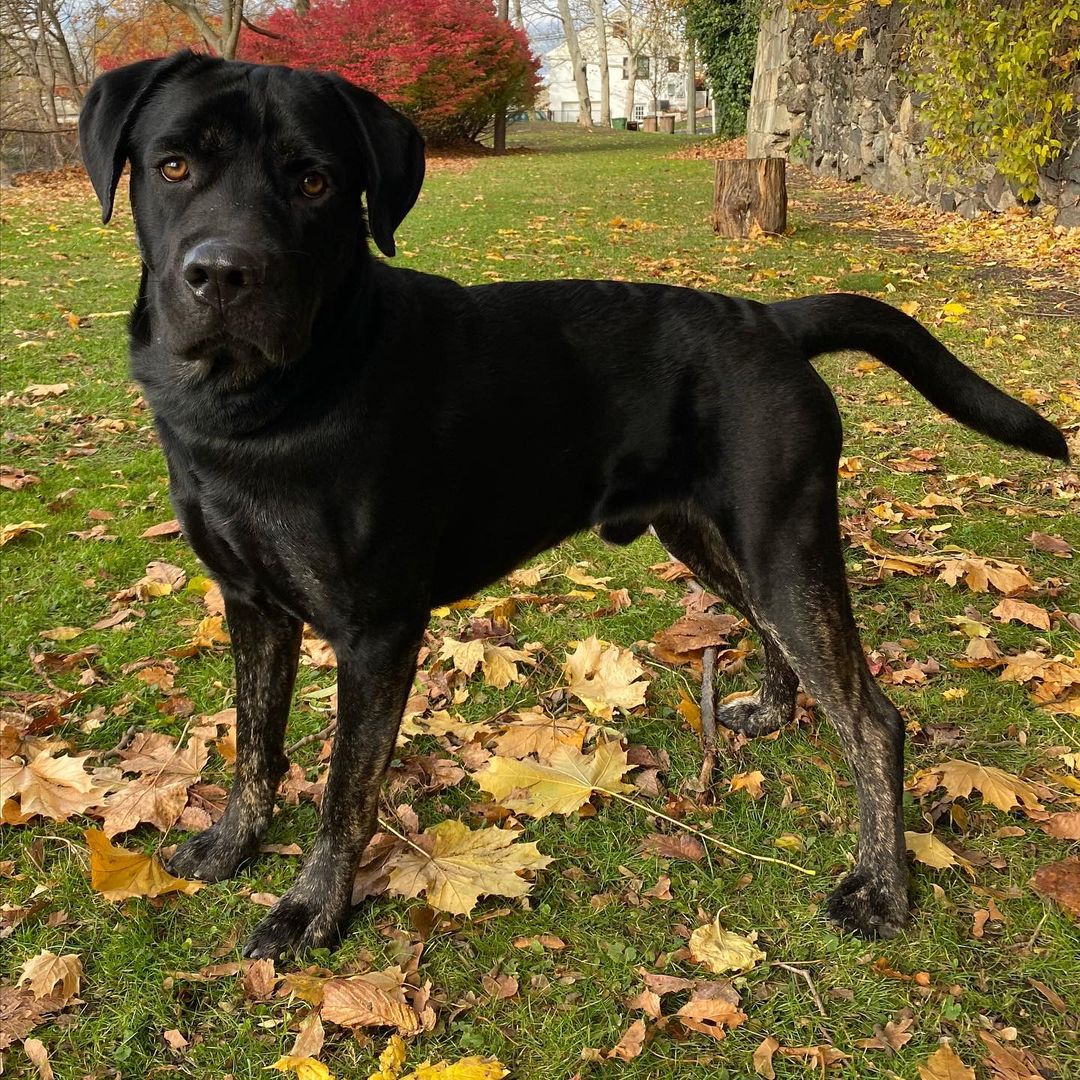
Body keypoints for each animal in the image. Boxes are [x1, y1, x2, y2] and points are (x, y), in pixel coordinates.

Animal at [79, 52, 1067, 963]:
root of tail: (773, 318)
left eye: (314, 181)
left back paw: (883, 888)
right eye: (173, 166)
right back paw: (772, 713)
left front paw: (312, 907)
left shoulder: (375, 632)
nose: (221, 274)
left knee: (873, 720)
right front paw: (232, 844)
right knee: (775, 640)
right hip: (709, 537)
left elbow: (344, 789)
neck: (259, 408)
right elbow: (256, 744)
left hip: (781, 544)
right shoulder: (250, 605)